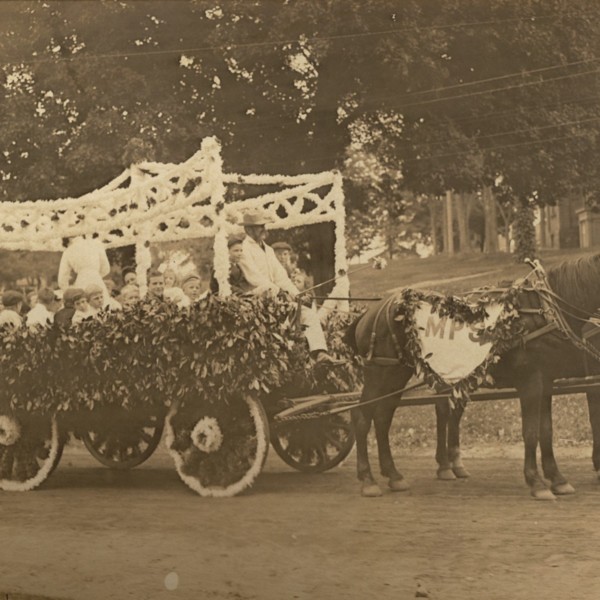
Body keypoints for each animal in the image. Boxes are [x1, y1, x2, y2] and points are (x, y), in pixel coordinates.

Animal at [346, 255, 600, 500]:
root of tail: (371, 313)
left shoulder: (546, 382)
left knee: (383, 418)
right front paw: (536, 482)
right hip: (380, 373)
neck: (541, 313)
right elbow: (530, 432)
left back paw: (394, 474)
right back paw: (368, 479)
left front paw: (557, 479)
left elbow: (546, 431)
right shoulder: (532, 383)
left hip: (397, 374)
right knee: (362, 417)